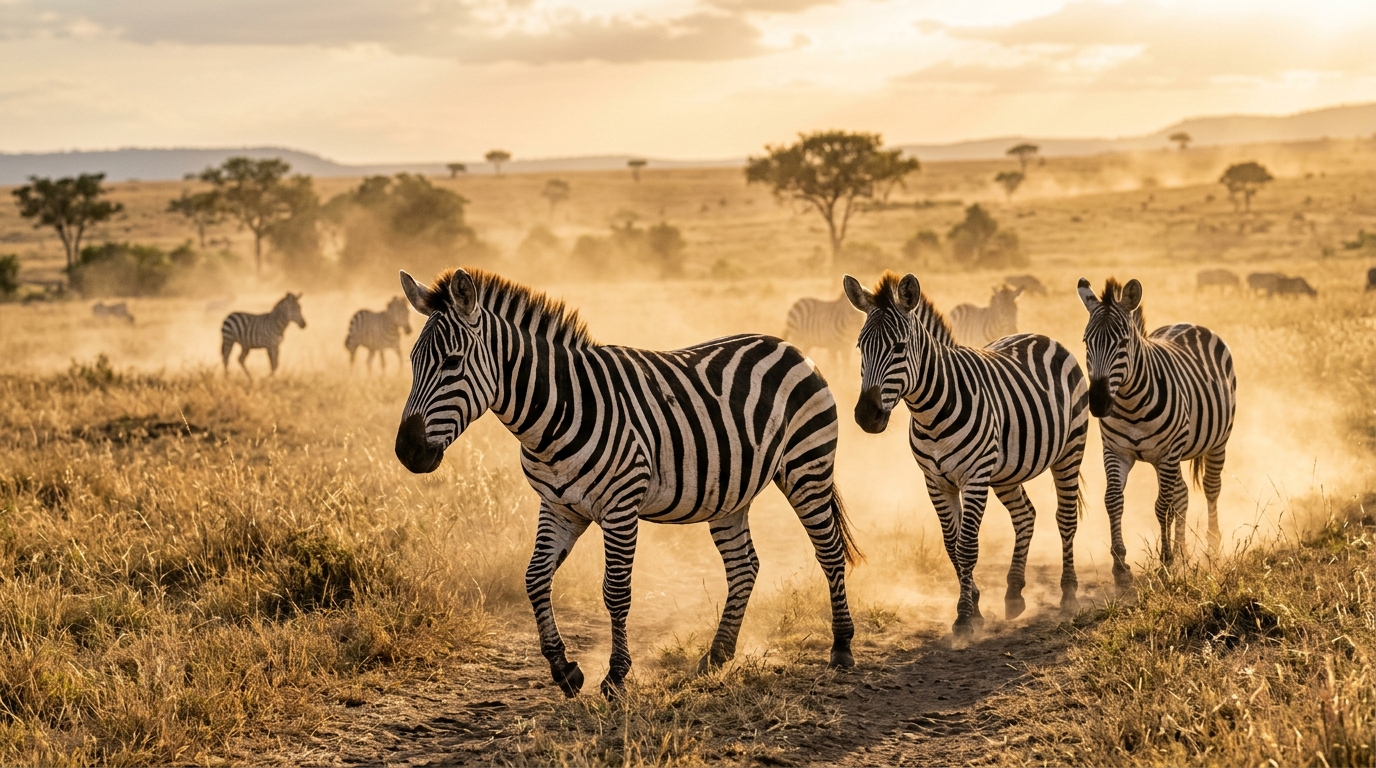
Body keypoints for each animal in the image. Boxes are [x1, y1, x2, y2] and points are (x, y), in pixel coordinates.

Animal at [394, 268, 860, 699]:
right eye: (412, 361)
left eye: (452, 362)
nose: (406, 452)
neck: (556, 413)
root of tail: (787, 346)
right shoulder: (558, 507)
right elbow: (535, 578)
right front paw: (564, 668)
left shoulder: (621, 506)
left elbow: (616, 591)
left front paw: (616, 676)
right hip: (730, 493)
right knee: (744, 566)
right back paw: (716, 655)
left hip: (807, 466)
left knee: (829, 552)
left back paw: (841, 647)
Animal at [845, 272, 1087, 640]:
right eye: (861, 347)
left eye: (899, 347)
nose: (866, 416)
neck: (931, 413)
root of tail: (1039, 336)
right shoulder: (936, 481)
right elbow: (951, 547)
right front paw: (974, 607)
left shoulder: (974, 477)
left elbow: (967, 547)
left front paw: (963, 618)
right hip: (1006, 472)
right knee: (1025, 515)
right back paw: (1014, 593)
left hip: (1070, 450)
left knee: (1066, 519)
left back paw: (1069, 594)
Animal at [1077, 278, 1236, 590]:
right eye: (1087, 342)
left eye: (1123, 342)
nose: (1098, 403)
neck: (1130, 403)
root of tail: (1189, 324)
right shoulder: (1116, 452)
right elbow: (1113, 500)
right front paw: (1120, 566)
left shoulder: (1168, 452)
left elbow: (1162, 506)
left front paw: (1165, 563)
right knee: (1182, 494)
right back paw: (1184, 552)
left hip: (1215, 442)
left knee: (1210, 489)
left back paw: (1212, 549)